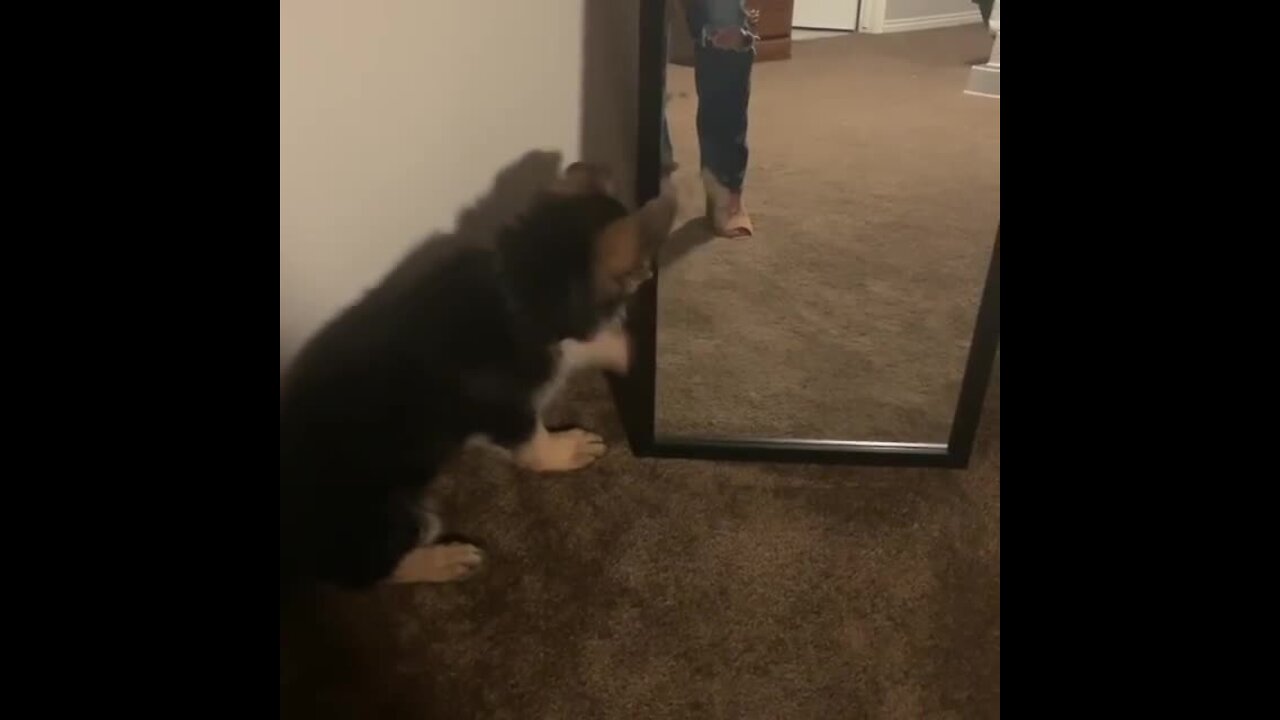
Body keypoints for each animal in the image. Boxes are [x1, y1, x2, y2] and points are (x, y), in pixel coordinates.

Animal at [281, 161, 680, 589]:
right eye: (643, 266)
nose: (652, 271)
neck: (517, 294)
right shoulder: (508, 412)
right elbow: (535, 443)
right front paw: (567, 449)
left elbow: (582, 346)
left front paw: (626, 350)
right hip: (387, 519)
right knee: (373, 571)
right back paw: (443, 561)